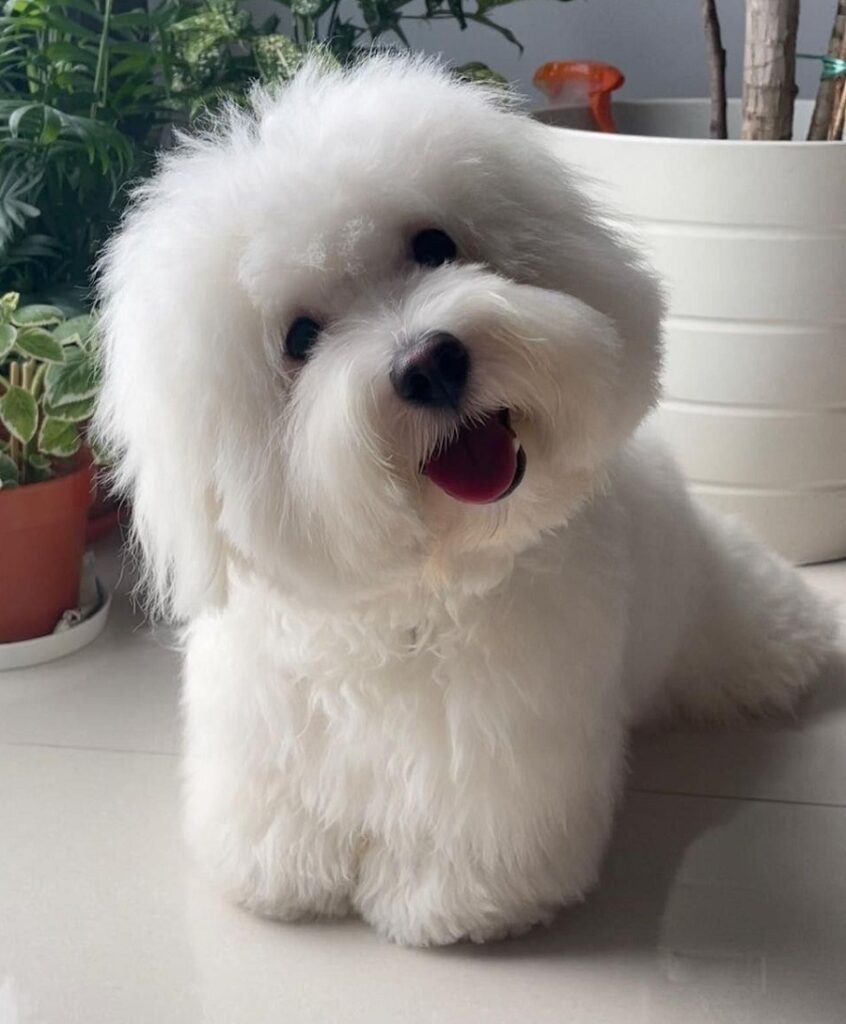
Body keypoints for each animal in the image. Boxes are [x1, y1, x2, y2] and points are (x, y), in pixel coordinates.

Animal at [95, 56, 835, 946]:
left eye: (435, 245)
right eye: (300, 338)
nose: (429, 364)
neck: (420, 592)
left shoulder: (500, 748)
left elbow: (470, 833)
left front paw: (446, 901)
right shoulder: (266, 727)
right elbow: (281, 819)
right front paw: (285, 873)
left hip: (713, 607)